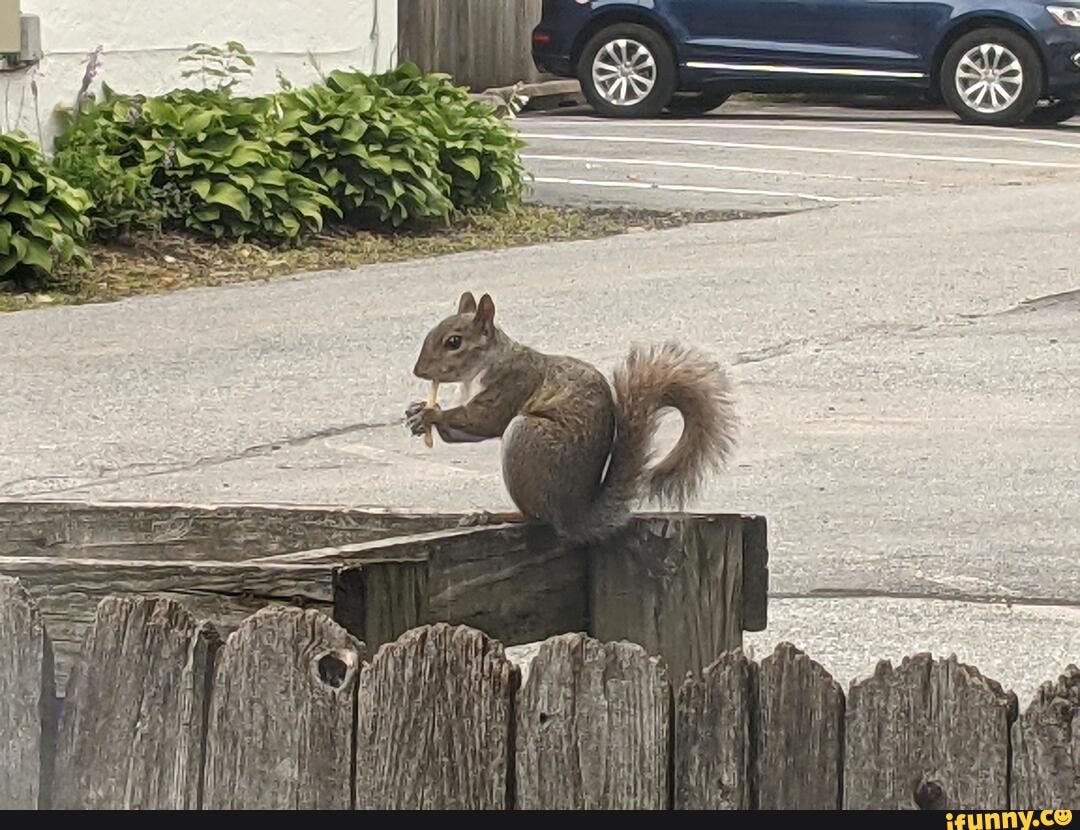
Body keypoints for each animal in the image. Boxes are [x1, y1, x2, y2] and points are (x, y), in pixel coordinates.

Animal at [405, 291, 738, 543]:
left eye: (454, 342)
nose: (418, 371)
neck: (483, 366)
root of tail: (573, 515)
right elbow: (464, 432)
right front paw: (417, 412)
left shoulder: (514, 384)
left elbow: (484, 419)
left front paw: (432, 413)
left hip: (526, 438)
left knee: (535, 518)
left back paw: (492, 516)